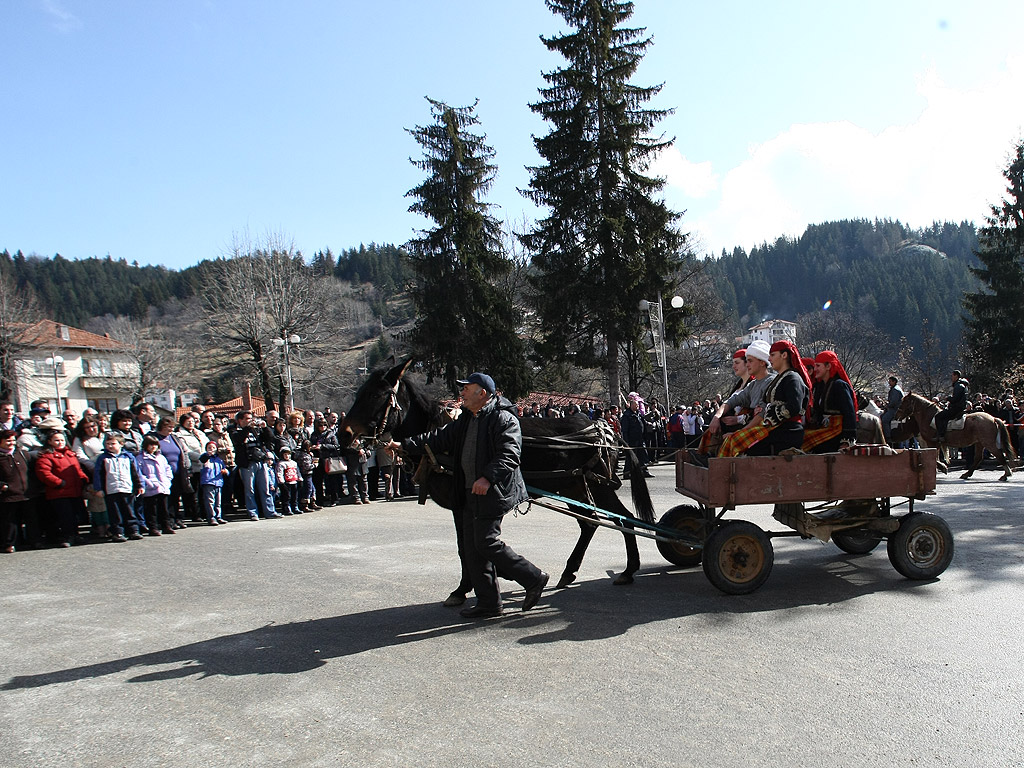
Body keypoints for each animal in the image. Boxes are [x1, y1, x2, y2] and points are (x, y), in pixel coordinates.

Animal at [337, 360, 655, 589]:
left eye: (376, 394)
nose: (345, 434)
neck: (440, 437)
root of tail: (605, 429)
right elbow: (469, 545)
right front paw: (497, 573)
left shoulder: (461, 502)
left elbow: (465, 547)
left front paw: (464, 588)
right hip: (575, 487)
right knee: (592, 523)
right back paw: (572, 571)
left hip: (596, 486)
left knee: (622, 518)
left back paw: (628, 570)